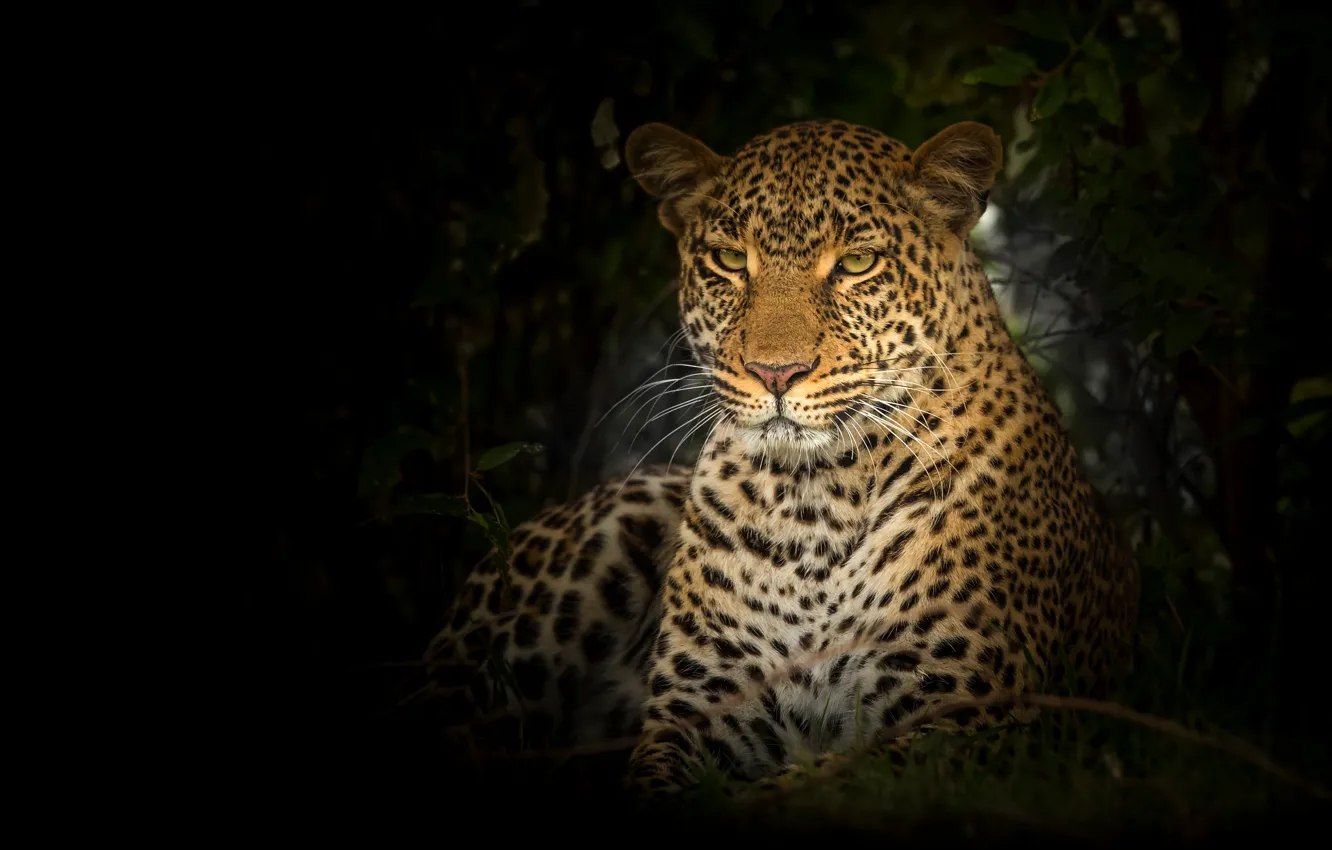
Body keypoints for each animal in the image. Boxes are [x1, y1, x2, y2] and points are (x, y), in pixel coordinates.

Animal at [420, 119, 1140, 798]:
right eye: (729, 259)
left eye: (857, 263)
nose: (775, 373)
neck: (816, 501)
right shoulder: (702, 712)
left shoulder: (976, 721)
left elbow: (810, 784)